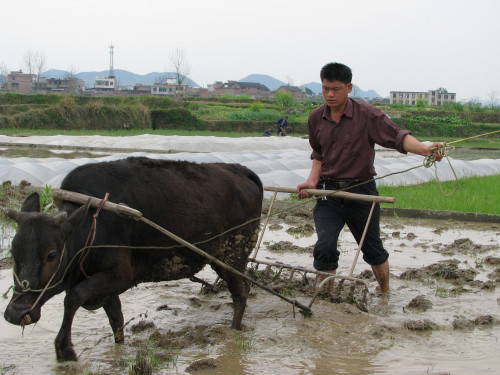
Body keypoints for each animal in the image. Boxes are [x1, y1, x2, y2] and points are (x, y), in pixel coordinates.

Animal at [4, 156, 262, 362]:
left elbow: (73, 297)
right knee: (244, 289)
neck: (91, 226)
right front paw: (119, 351)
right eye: (13, 253)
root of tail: (240, 170)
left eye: (51, 255)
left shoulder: (119, 276)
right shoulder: (104, 285)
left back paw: (233, 332)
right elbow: (116, 319)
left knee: (240, 294)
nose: (16, 313)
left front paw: (65, 349)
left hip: (231, 255)